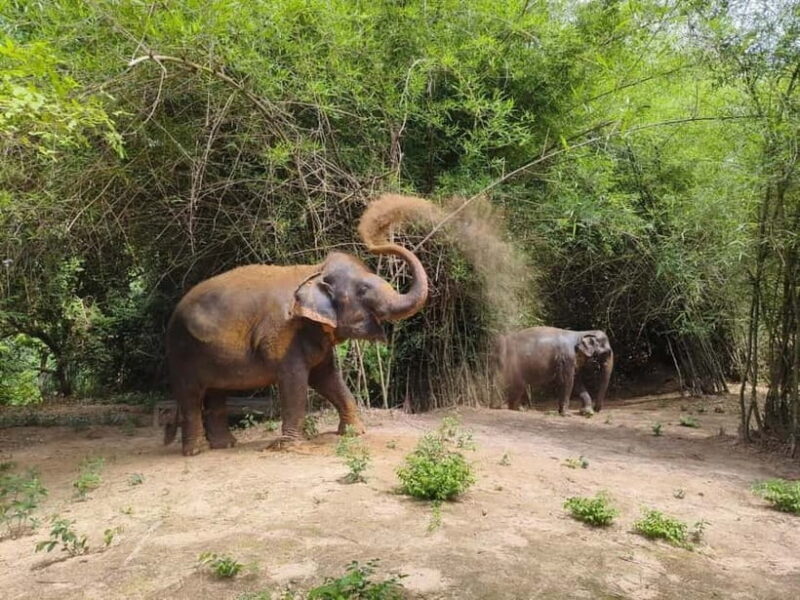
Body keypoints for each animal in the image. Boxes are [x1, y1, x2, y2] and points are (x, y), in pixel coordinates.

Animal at [164, 211, 428, 456]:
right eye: (363, 289)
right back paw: (196, 451)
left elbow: (327, 378)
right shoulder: (284, 333)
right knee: (191, 395)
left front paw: (354, 432)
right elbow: (295, 381)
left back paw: (225, 445)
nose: (376, 238)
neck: (314, 271)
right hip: (181, 351)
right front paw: (292, 446)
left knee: (216, 393)